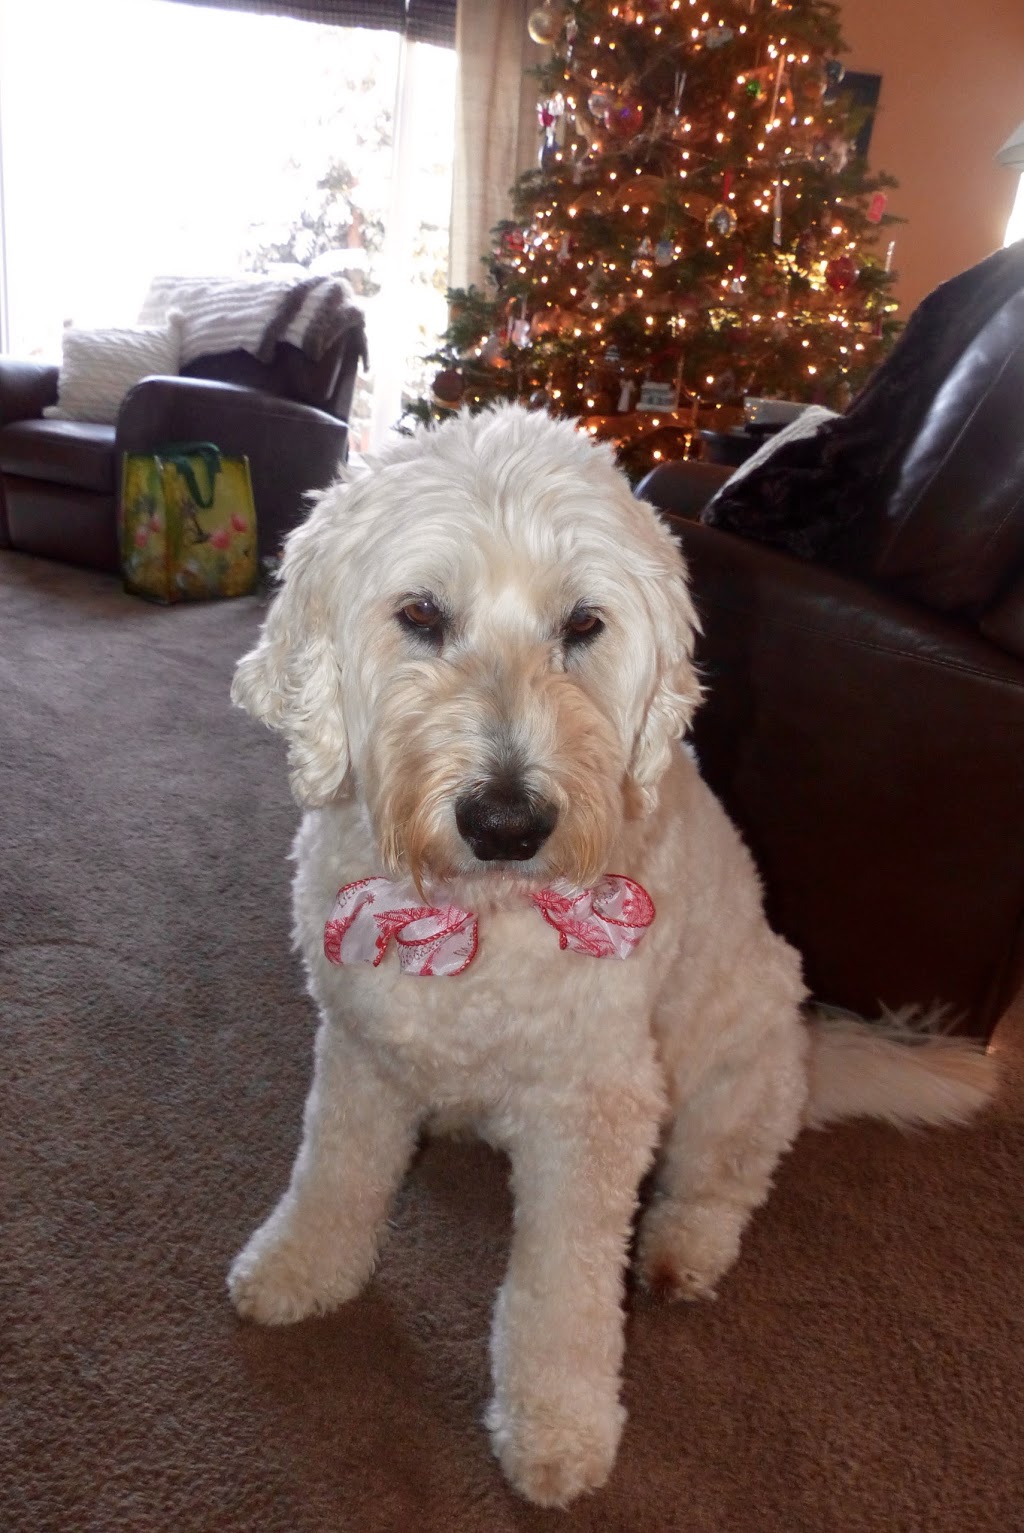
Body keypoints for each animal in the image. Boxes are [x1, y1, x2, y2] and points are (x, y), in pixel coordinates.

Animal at [227, 403, 996, 1507]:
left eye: (583, 625)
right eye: (420, 613)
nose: (507, 820)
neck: (475, 916)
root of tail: (814, 1053)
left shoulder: (593, 1114)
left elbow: (561, 1294)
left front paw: (556, 1430)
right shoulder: (361, 1047)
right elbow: (334, 1170)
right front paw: (301, 1268)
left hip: (735, 1075)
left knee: (723, 1183)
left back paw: (682, 1249)